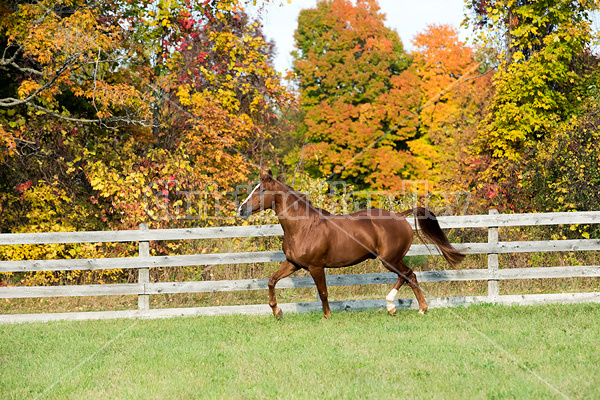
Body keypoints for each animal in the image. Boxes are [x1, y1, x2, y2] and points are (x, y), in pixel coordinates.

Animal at [238, 170, 464, 320]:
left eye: (262, 190)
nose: (241, 209)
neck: (303, 227)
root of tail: (400, 216)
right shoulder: (293, 263)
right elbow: (271, 281)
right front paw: (277, 311)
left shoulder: (316, 266)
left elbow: (323, 292)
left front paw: (327, 316)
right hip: (391, 259)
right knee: (409, 276)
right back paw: (413, 308)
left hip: (389, 259)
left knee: (408, 275)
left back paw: (399, 306)